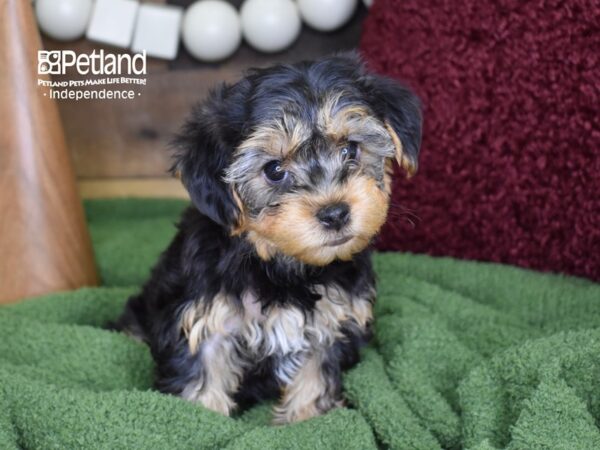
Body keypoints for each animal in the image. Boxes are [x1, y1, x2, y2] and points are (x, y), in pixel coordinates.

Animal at [115, 53, 420, 426]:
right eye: (274, 170)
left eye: (351, 149)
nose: (335, 213)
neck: (280, 265)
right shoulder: (206, 320)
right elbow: (201, 381)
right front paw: (204, 421)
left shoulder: (330, 326)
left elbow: (314, 377)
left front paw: (306, 419)